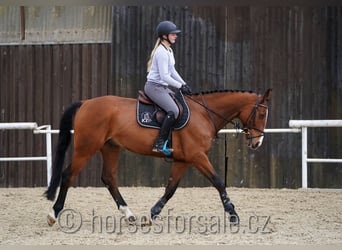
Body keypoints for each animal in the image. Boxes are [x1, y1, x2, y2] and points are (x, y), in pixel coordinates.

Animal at [45, 88, 272, 227]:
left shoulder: (183, 160)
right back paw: (53, 214)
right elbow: (218, 182)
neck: (203, 113)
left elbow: (170, 188)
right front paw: (233, 214)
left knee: (109, 178)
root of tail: (85, 103)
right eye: (261, 115)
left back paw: (129, 214)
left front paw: (152, 214)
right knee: (68, 175)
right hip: (86, 148)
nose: (257, 143)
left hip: (110, 147)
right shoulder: (197, 156)